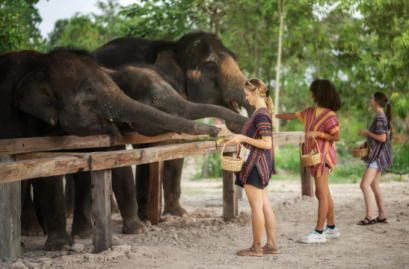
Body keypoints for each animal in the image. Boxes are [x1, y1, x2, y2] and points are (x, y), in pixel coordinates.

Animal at [0, 47, 220, 249]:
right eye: (155, 99)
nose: (217, 132)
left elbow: (113, 166)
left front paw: (132, 230)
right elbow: (46, 172)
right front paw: (61, 247)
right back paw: (31, 234)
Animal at [91, 32, 252, 219]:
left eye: (236, 59)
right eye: (211, 66)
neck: (174, 47)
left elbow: (176, 149)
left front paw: (179, 214)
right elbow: (145, 149)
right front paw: (145, 218)